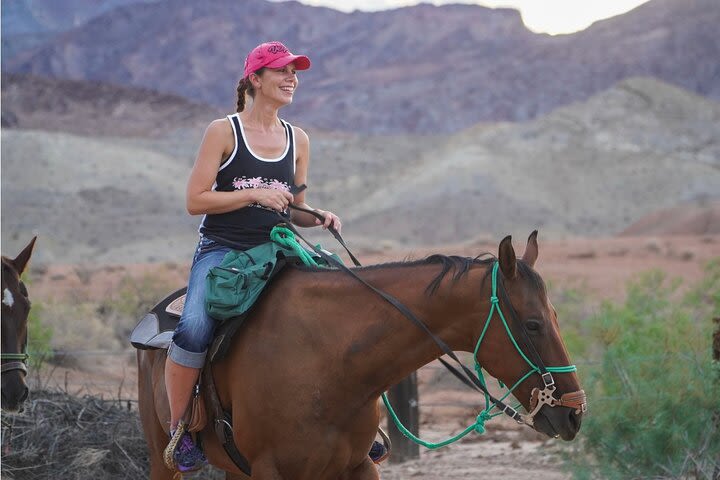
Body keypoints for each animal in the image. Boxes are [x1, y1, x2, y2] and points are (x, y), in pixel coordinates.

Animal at [136, 231, 584, 478]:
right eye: (533, 325)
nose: (575, 413)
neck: (329, 361)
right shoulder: (270, 470)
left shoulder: (358, 466)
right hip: (162, 459)